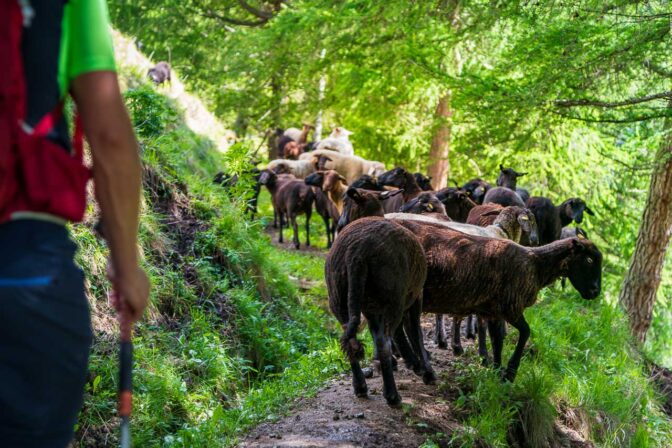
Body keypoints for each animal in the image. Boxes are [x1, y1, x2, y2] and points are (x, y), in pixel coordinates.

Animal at [326, 217, 436, 406]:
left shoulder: (373, 310)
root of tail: (355, 253)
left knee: (350, 341)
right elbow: (415, 333)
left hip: (340, 299)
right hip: (392, 298)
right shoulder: (415, 296)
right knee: (385, 341)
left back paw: (360, 387)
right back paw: (392, 396)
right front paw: (426, 371)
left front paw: (413, 363)